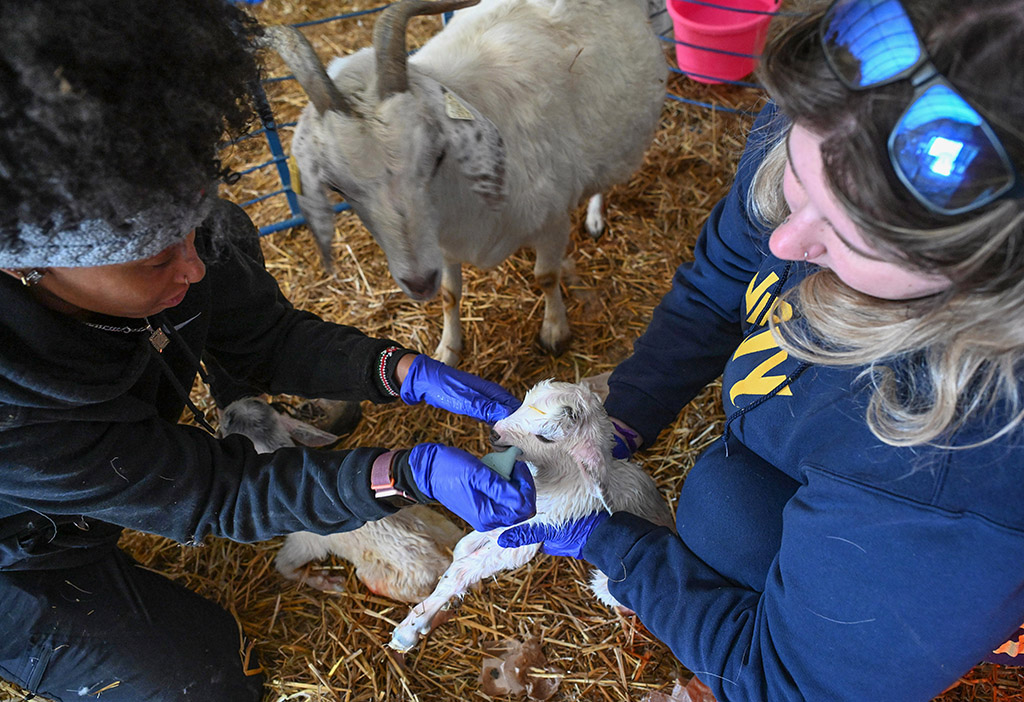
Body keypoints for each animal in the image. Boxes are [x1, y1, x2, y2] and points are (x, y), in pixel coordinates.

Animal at [218, 397, 464, 603]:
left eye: (226, 424)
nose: (226, 408)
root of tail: (441, 559)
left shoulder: (305, 541)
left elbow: (284, 565)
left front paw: (328, 582)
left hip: (378, 578)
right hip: (435, 521)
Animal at [261, 0, 668, 366]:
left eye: (437, 154)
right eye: (338, 187)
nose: (418, 281)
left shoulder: (551, 220)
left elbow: (547, 276)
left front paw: (554, 332)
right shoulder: (440, 244)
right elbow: (448, 295)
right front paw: (448, 349)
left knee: (602, 175)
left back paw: (595, 217)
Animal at [388, 379, 675, 651]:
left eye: (546, 438)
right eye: (525, 401)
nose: (495, 433)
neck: (555, 479)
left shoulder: (523, 539)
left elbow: (462, 570)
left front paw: (409, 630)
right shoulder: (504, 522)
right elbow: (461, 550)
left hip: (607, 584)